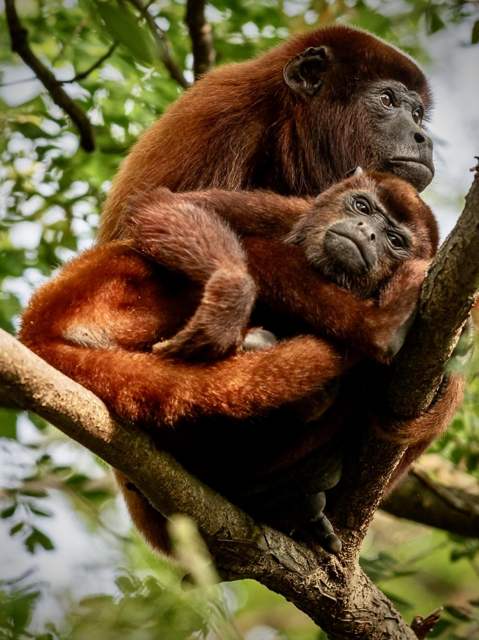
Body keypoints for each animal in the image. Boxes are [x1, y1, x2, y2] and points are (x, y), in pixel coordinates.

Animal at [20, 171, 459, 555]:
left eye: (395, 239)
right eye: (362, 205)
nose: (367, 231)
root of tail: (37, 324)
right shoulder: (281, 210)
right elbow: (160, 207)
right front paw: (233, 293)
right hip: (112, 291)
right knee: (253, 250)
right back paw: (382, 328)